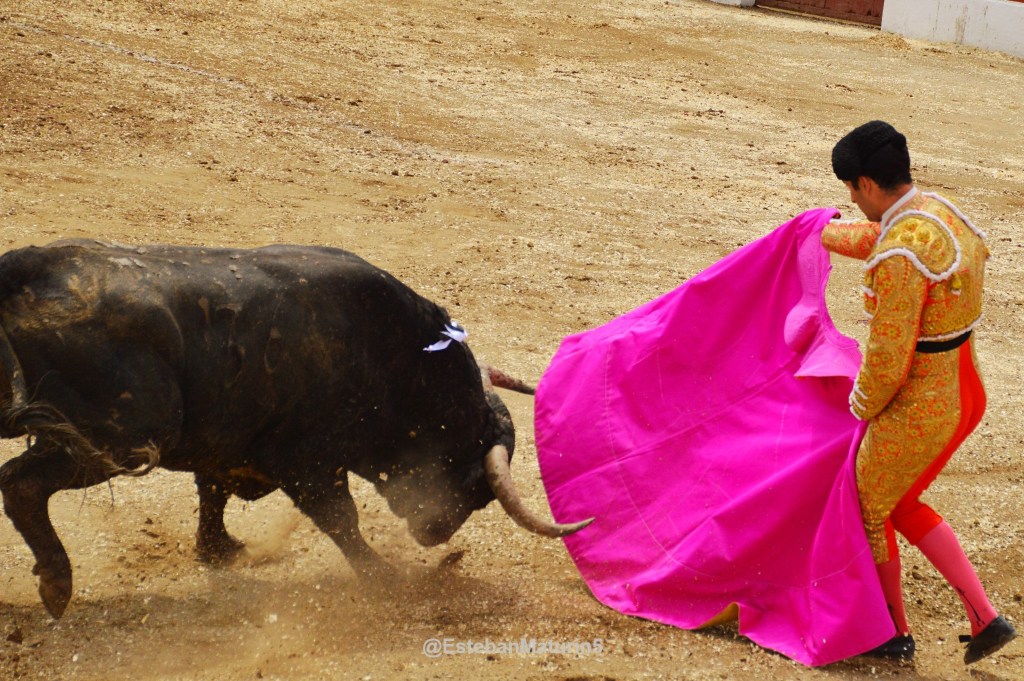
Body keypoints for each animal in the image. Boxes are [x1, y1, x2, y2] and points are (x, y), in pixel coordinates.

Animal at [0, 240, 591, 618]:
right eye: (476, 490)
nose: (436, 534)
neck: (400, 362)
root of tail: (26, 268)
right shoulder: (308, 462)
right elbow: (341, 520)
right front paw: (387, 580)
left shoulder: (230, 446)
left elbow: (211, 494)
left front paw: (221, 551)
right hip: (124, 437)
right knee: (20, 482)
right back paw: (56, 584)